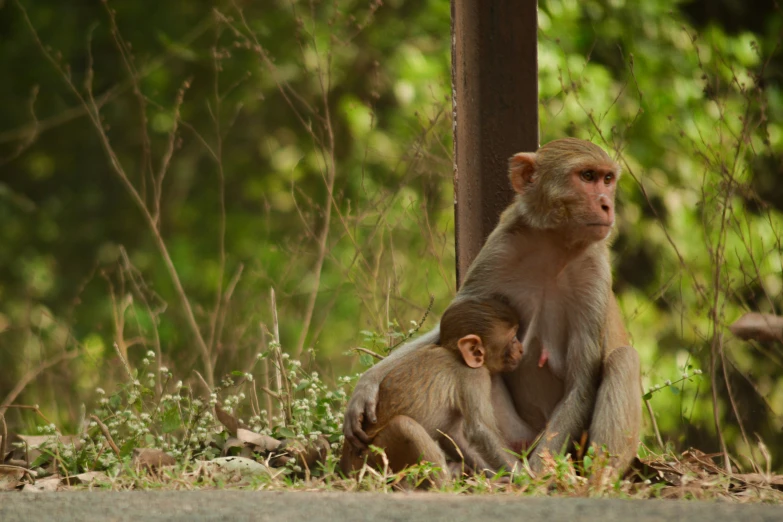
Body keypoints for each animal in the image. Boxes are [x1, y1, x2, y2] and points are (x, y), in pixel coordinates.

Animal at [340, 294, 524, 482]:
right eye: (512, 338)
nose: (520, 349)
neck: (456, 354)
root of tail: (345, 465)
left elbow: (454, 435)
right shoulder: (474, 377)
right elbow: (480, 431)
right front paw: (523, 478)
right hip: (370, 458)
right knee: (404, 426)